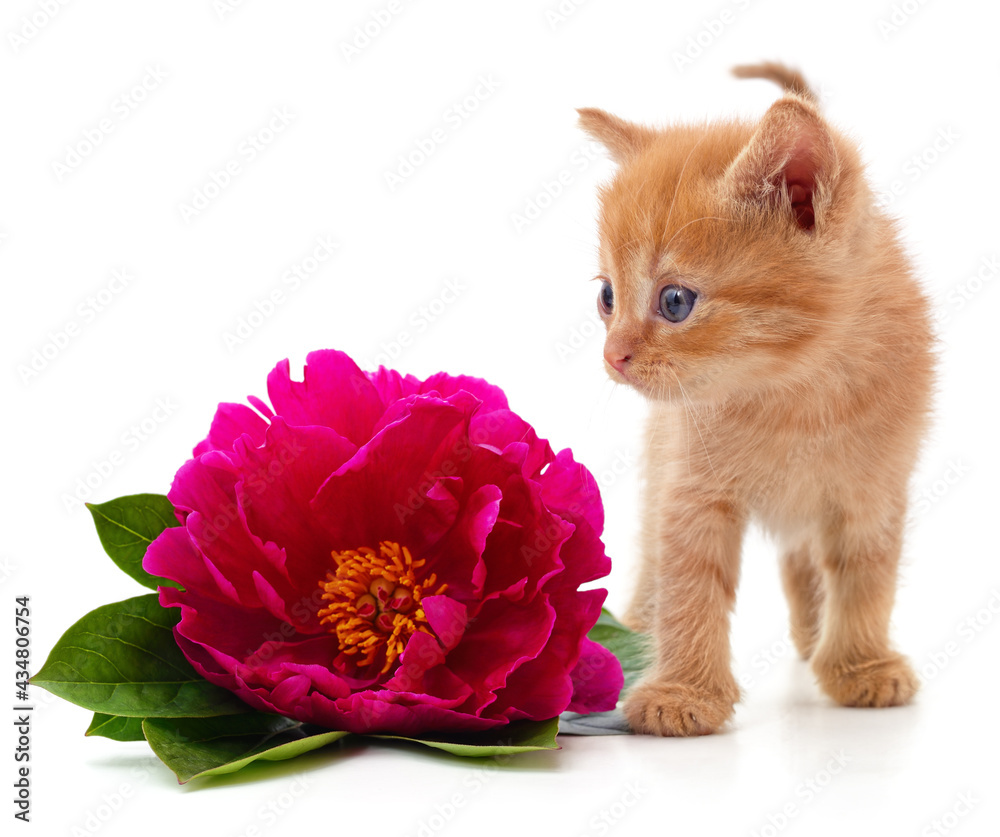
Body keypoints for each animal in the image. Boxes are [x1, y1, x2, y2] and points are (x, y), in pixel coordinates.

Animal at [584, 63, 932, 732]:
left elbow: (866, 577)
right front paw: (683, 693)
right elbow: (689, 586)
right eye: (607, 297)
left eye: (674, 301)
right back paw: (633, 630)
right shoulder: (690, 489)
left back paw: (813, 637)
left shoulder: (872, 492)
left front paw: (861, 665)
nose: (612, 356)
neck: (794, 393)